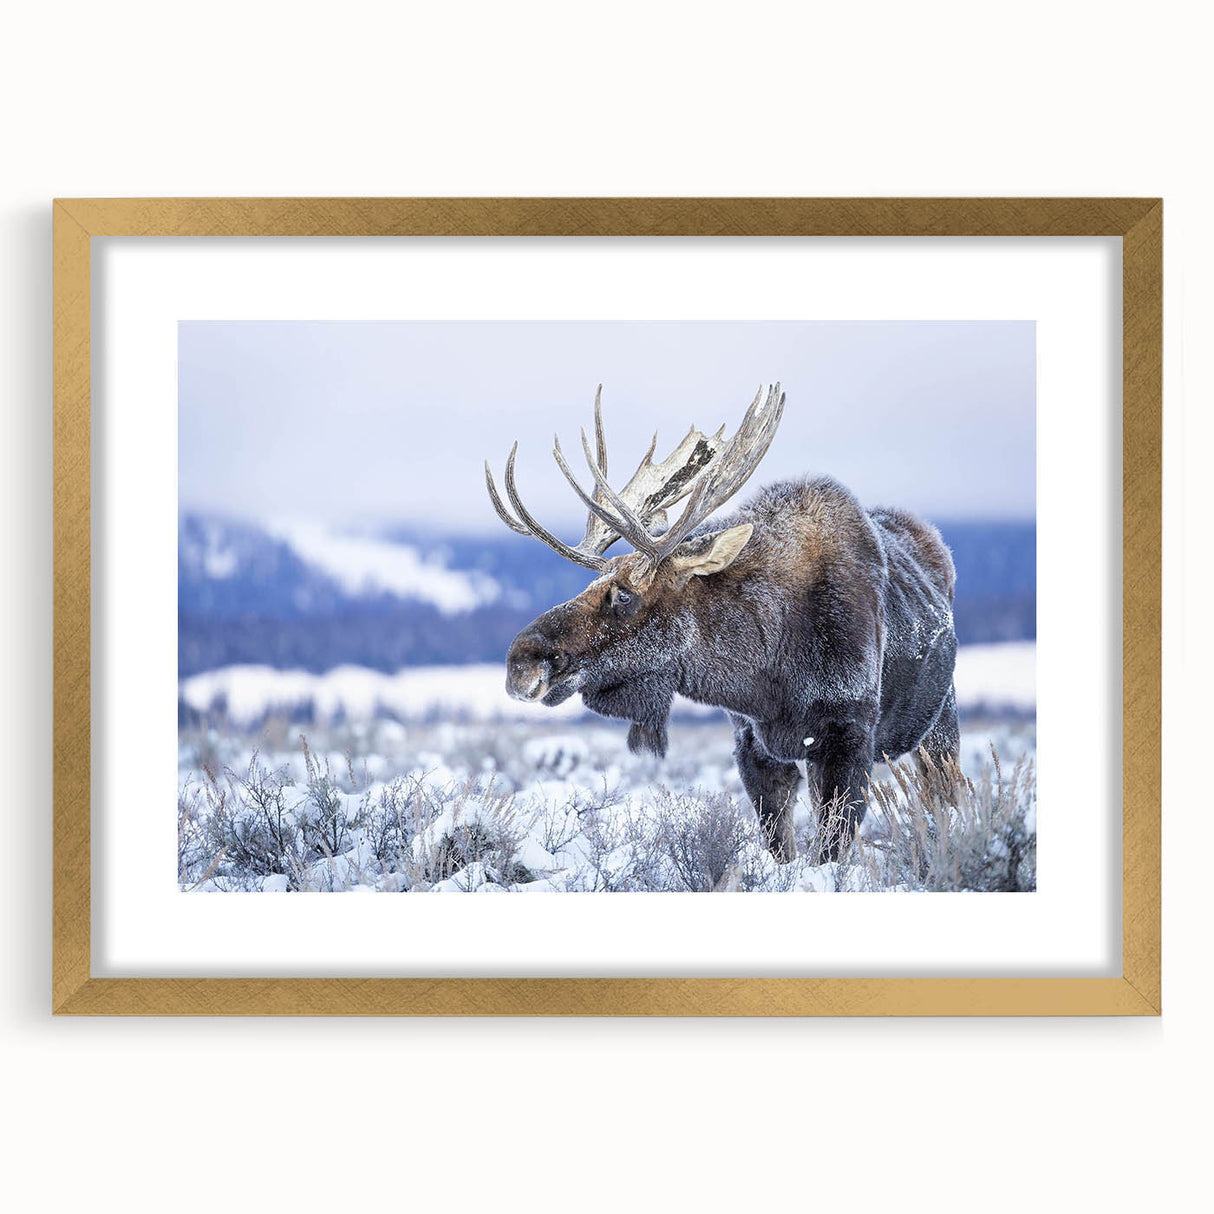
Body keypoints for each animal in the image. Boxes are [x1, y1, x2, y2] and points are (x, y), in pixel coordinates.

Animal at [484, 384, 959, 862]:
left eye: (624, 594)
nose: (520, 663)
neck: (767, 673)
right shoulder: (752, 744)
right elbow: (780, 846)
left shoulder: (848, 736)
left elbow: (831, 849)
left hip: (940, 723)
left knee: (946, 796)